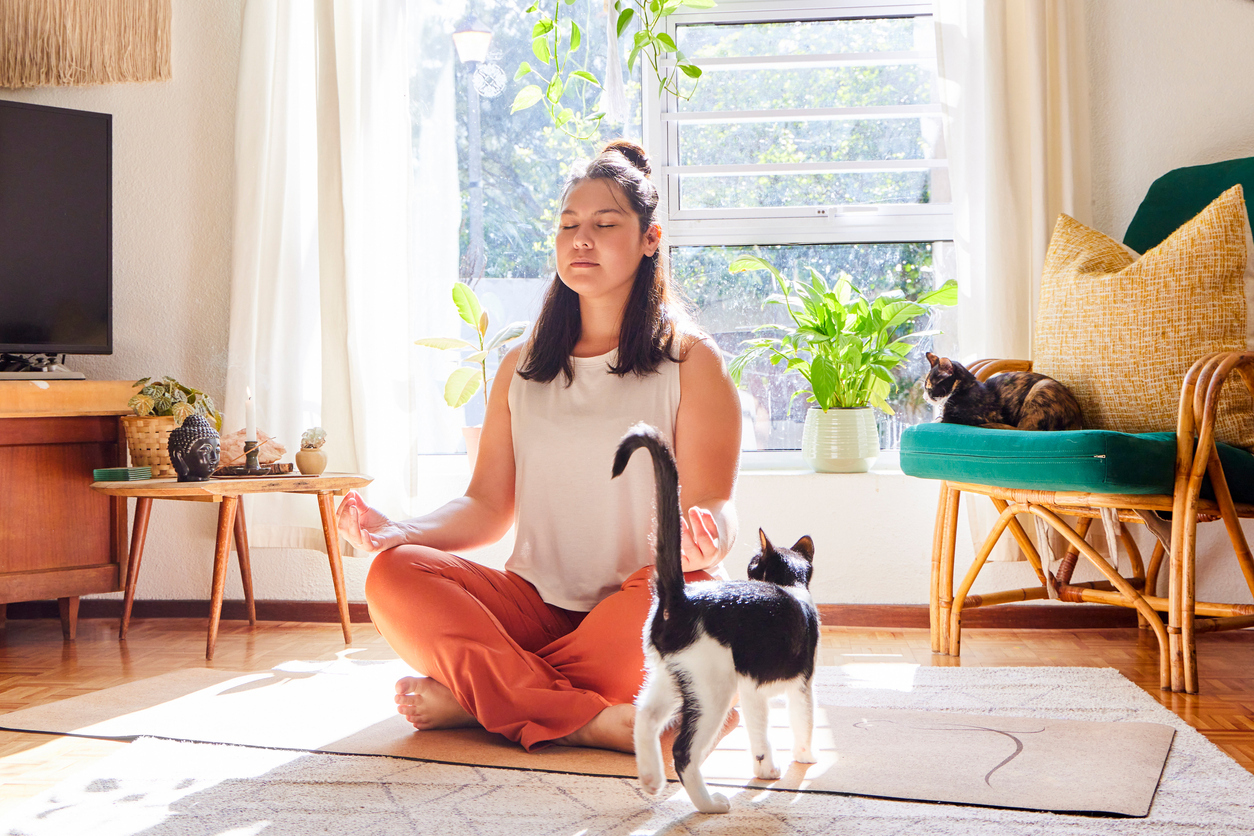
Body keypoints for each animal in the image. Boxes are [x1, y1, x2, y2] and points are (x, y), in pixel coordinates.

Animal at [611, 426, 817, 812]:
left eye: (752, 565)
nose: (749, 568)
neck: (785, 586)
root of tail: (681, 599)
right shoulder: (803, 680)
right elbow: (804, 720)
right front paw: (805, 758)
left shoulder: (751, 688)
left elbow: (759, 731)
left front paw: (765, 770)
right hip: (713, 689)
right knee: (683, 750)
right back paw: (710, 803)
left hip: (672, 677)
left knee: (644, 716)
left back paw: (651, 779)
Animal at [922, 353, 1088, 431]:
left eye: (929, 386)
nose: (924, 397)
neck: (965, 388)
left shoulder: (974, 417)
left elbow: (941, 420)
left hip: (1041, 388)